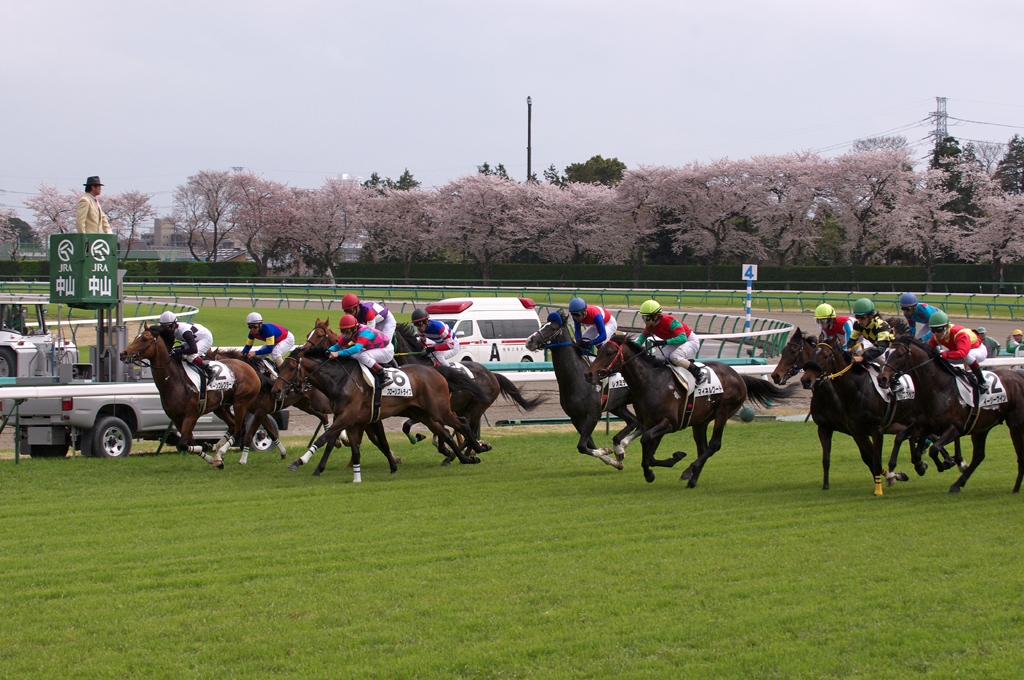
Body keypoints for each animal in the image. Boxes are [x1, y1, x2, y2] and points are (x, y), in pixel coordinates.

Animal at [119, 325, 264, 468]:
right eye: (135, 337)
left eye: (144, 339)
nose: (123, 354)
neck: (173, 379)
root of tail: (248, 367)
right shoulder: (177, 419)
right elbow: (190, 442)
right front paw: (211, 457)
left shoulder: (191, 415)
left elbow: (184, 444)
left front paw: (207, 448)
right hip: (221, 407)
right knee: (233, 426)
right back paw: (218, 455)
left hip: (241, 402)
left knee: (239, 429)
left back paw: (222, 452)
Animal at [271, 347, 491, 480]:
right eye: (280, 366)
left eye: (291, 366)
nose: (275, 390)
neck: (341, 380)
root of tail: (436, 371)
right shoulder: (351, 420)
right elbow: (347, 444)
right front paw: (322, 469)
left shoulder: (348, 417)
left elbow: (324, 438)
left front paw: (298, 462)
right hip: (424, 413)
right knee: (447, 432)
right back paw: (465, 457)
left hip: (439, 409)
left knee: (462, 423)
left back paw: (477, 449)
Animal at [525, 312, 642, 470]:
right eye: (543, 325)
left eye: (552, 328)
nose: (529, 341)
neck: (576, 376)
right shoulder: (575, 417)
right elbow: (588, 444)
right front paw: (613, 460)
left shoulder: (592, 415)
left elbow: (582, 446)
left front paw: (606, 450)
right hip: (618, 406)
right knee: (634, 422)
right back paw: (619, 448)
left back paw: (620, 446)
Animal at [584, 332, 797, 486]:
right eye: (600, 350)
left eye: (610, 353)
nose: (589, 374)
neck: (650, 382)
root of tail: (738, 376)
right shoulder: (652, 424)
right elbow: (649, 452)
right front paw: (661, 465)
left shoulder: (669, 423)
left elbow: (646, 442)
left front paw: (654, 471)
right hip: (700, 421)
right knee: (702, 447)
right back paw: (693, 479)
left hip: (724, 411)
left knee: (714, 445)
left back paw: (688, 472)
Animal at [878, 335, 1024, 494]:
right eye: (887, 353)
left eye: (899, 355)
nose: (882, 378)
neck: (939, 389)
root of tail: (1018, 377)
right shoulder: (922, 425)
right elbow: (900, 438)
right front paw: (892, 473)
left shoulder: (955, 428)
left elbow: (934, 449)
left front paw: (944, 464)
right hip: (982, 426)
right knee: (979, 455)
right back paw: (957, 484)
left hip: (1015, 425)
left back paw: (1015, 488)